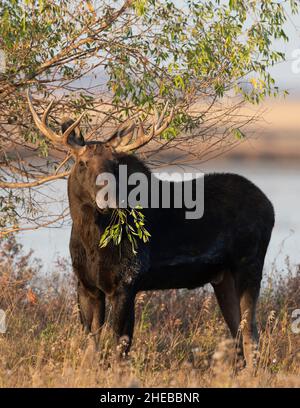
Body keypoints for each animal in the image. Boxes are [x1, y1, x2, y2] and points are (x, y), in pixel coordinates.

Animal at [27, 91, 274, 368]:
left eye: (115, 165)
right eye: (82, 163)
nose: (108, 196)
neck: (91, 240)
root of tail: (270, 206)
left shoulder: (126, 281)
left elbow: (119, 345)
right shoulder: (87, 285)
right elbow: (92, 344)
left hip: (249, 266)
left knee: (251, 332)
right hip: (223, 277)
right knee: (237, 332)